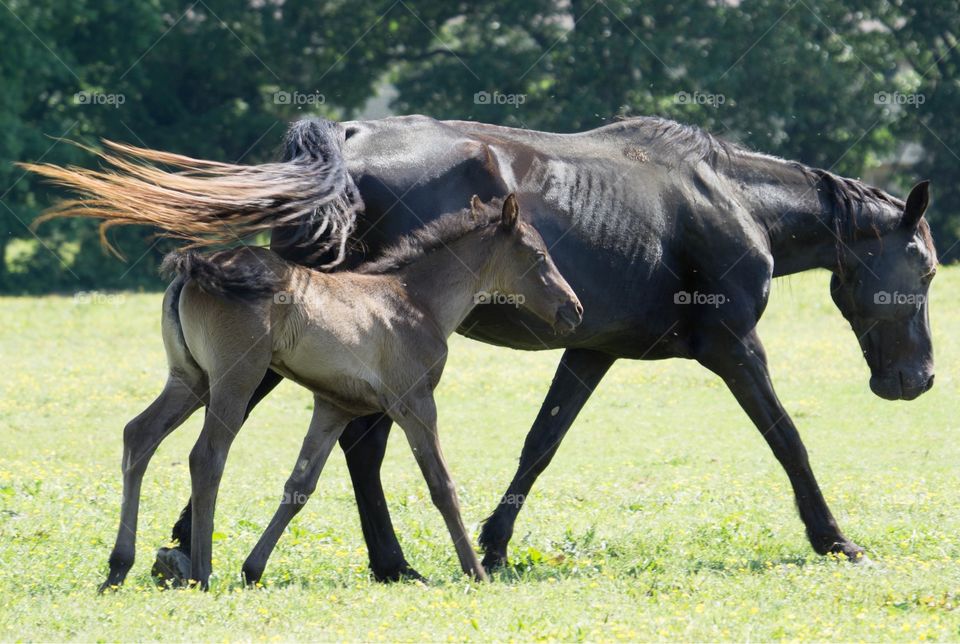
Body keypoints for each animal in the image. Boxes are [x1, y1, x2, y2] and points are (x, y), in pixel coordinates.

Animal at [30, 115, 936, 584]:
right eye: (925, 267)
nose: (918, 380)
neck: (725, 199)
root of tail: (345, 146)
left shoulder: (592, 350)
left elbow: (541, 443)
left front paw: (496, 546)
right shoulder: (734, 345)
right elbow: (788, 439)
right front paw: (835, 538)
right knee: (282, 441)